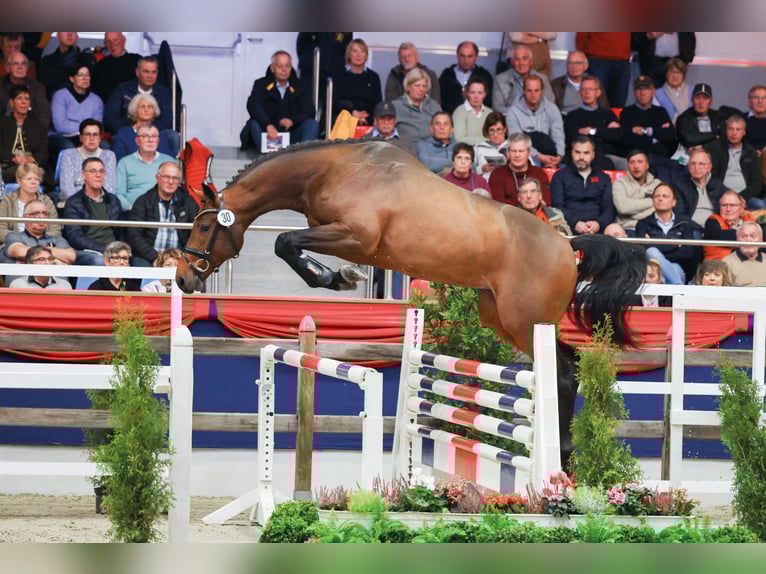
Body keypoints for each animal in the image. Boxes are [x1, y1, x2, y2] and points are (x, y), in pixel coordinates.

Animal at [176, 139, 645, 467]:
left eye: (204, 227)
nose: (182, 277)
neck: (330, 170)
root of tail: (567, 244)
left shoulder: (356, 235)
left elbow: (284, 241)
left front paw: (335, 278)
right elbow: (287, 243)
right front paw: (337, 276)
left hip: (526, 320)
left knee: (563, 371)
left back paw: (561, 458)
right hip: (500, 316)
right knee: (568, 365)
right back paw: (564, 455)